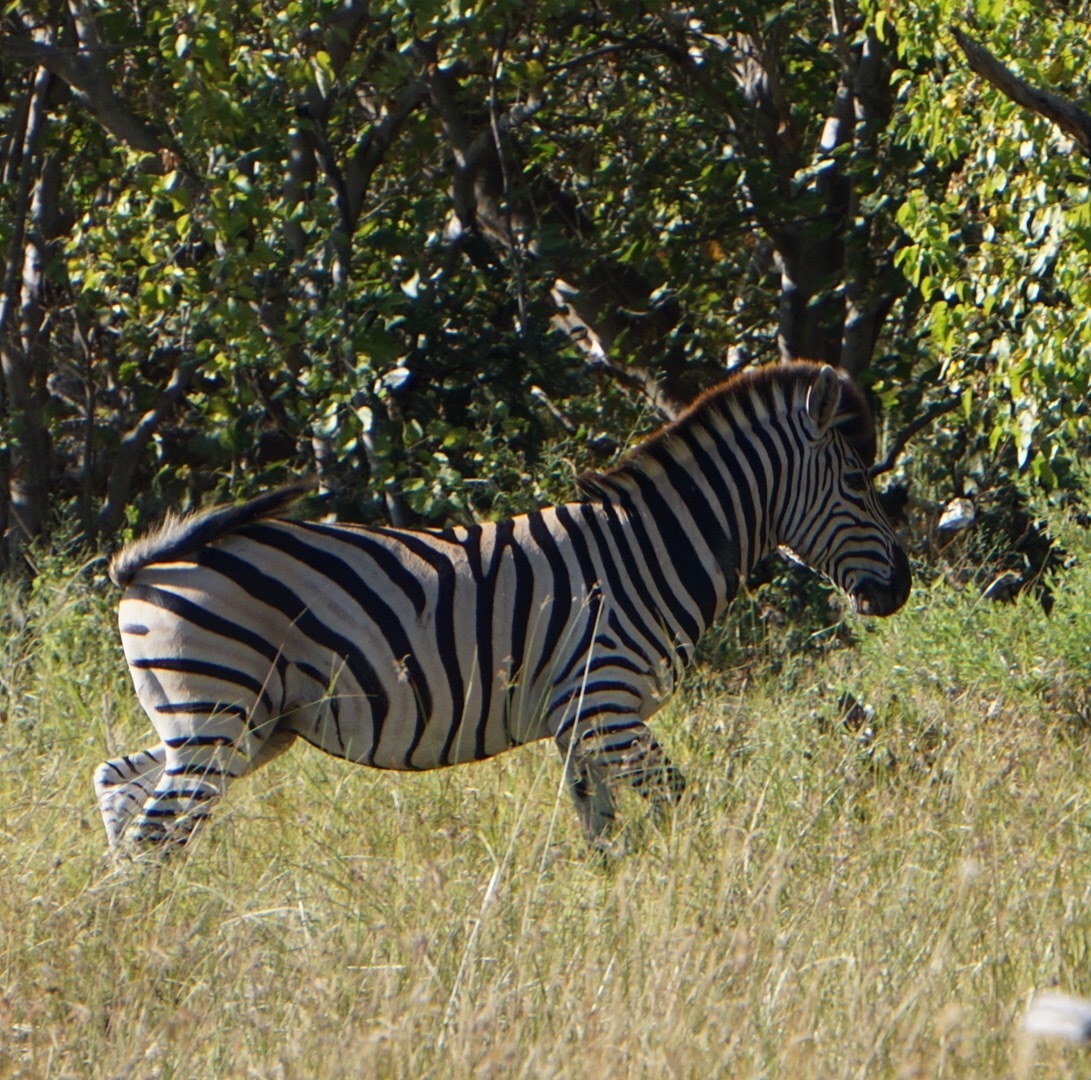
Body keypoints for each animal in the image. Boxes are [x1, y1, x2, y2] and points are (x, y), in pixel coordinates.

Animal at [96, 364, 912, 855]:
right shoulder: (606, 706)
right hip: (219, 715)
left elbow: (602, 832)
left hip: (242, 724)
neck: (650, 550)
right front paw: (702, 883)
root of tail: (145, 569)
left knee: (118, 782)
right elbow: (680, 802)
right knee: (154, 831)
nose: (900, 590)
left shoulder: (575, 722)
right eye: (858, 481)